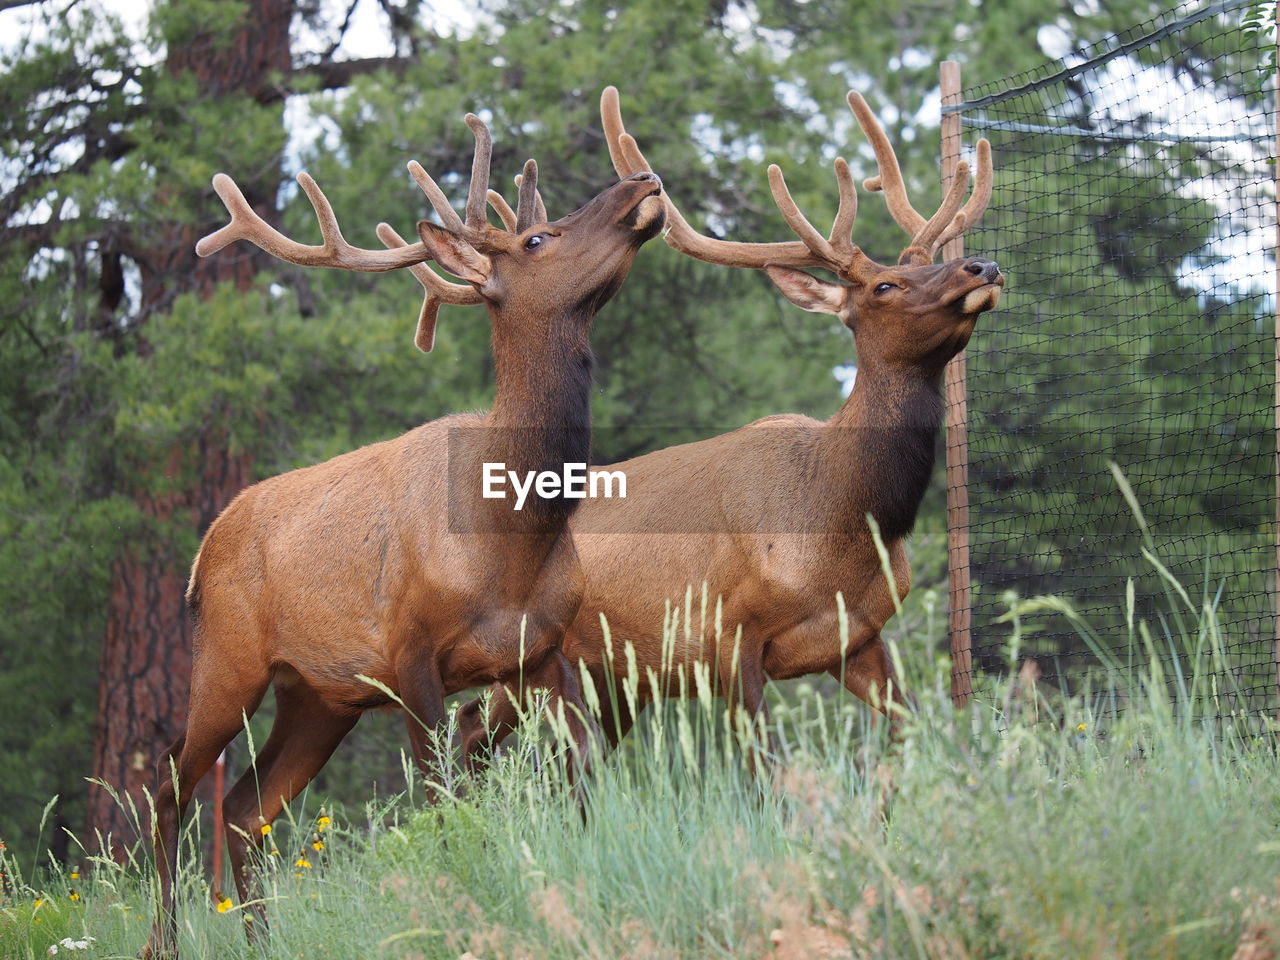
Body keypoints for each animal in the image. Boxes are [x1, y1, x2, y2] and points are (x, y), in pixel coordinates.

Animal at [141, 108, 665, 957]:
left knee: (245, 807)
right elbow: (438, 801)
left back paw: (263, 938)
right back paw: (166, 940)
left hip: (319, 696)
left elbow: (580, 776)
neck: (512, 535)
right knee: (168, 786)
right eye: (539, 238)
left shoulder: (543, 651)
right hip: (227, 658)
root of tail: (200, 554)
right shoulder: (413, 654)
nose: (641, 181)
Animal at [458, 88, 998, 768]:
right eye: (884, 285)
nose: (982, 265)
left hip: (612, 680)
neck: (838, 518)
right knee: (468, 728)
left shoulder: (858, 639)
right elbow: (765, 767)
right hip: (530, 655)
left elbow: (910, 741)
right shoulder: (725, 633)